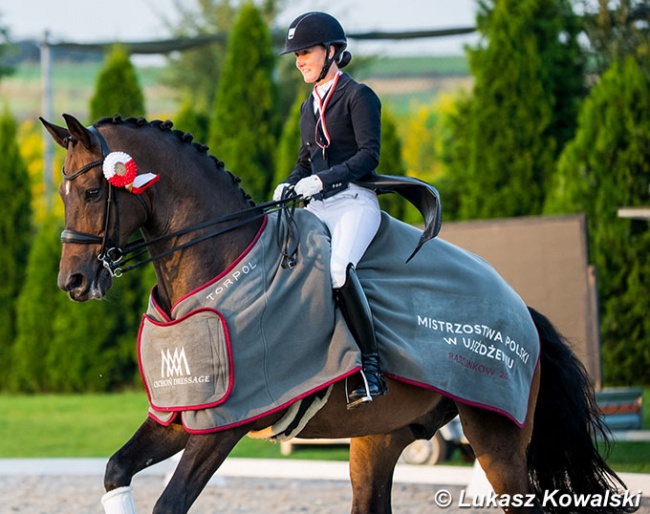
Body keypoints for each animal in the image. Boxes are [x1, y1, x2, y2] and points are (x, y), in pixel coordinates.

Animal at [38, 114, 632, 512]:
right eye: (63, 193)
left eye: (92, 192)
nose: (73, 283)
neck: (217, 264)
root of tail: (522, 309)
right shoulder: (184, 413)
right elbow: (115, 469)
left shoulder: (226, 424)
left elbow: (170, 503)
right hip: (379, 437)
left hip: (498, 437)